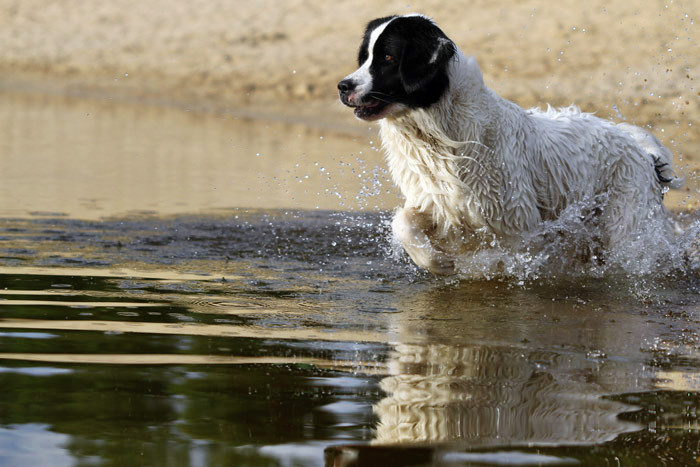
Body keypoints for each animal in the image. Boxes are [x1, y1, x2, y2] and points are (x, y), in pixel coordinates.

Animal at [340, 14, 684, 276]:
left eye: (387, 58)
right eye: (364, 57)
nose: (343, 86)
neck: (440, 132)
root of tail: (642, 151)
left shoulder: (516, 225)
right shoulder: (439, 201)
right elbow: (403, 222)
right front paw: (436, 262)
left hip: (627, 226)